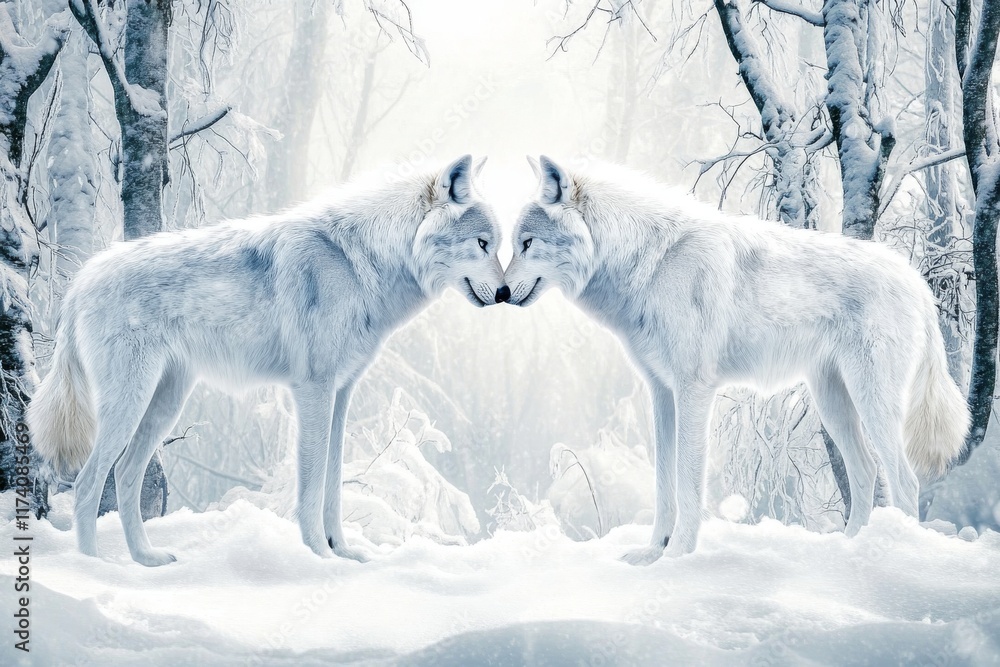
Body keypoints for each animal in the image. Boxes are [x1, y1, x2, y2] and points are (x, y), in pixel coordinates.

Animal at [28, 155, 509, 567]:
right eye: (482, 243)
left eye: (498, 245)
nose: (506, 293)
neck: (362, 262)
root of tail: (81, 279)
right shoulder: (313, 390)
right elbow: (311, 485)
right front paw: (318, 556)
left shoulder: (342, 393)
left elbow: (334, 483)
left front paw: (344, 553)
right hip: (129, 401)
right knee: (89, 481)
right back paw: (93, 566)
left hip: (166, 403)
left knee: (126, 473)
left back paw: (145, 559)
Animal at [504, 156, 969, 563]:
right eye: (515, 245)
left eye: (528, 243)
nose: (502, 293)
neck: (650, 262)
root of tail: (915, 279)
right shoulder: (661, 392)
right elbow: (663, 484)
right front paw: (651, 554)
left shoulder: (693, 391)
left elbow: (688, 483)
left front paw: (678, 556)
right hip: (832, 402)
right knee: (867, 471)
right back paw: (850, 547)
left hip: (871, 400)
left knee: (904, 480)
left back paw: (895, 554)